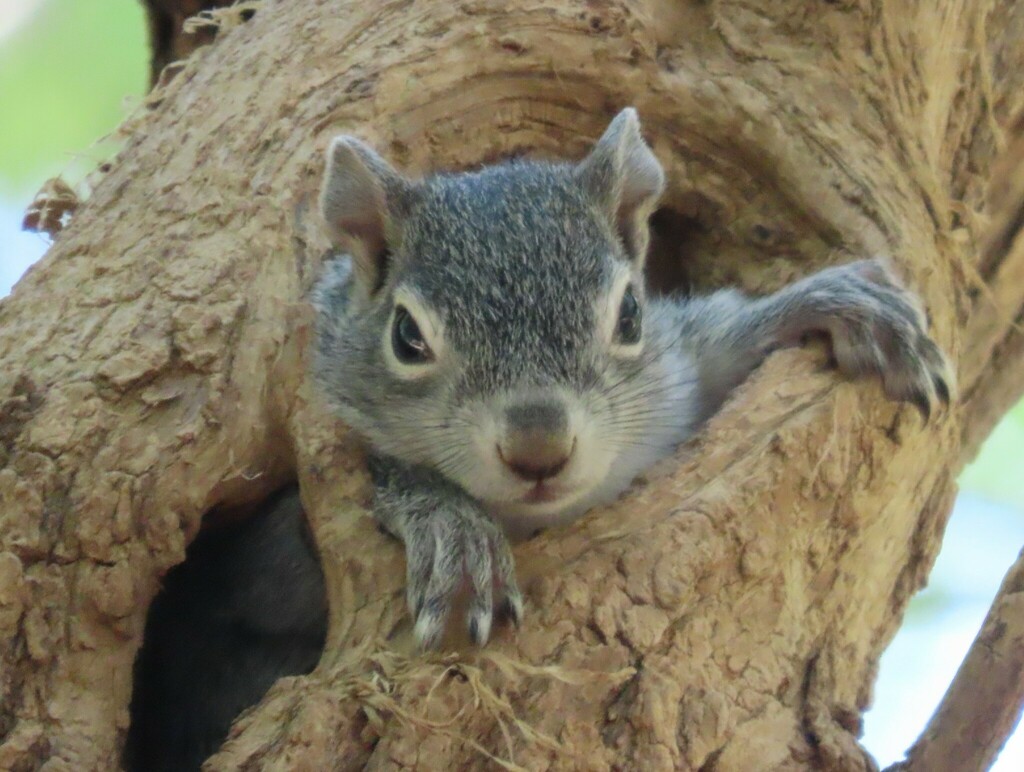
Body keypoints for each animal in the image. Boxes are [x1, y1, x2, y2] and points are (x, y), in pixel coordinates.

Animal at [126, 108, 953, 769]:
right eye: (406, 337)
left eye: (630, 314)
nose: (538, 449)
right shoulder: (280, 531)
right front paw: (451, 528)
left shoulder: (675, 388)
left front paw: (832, 304)